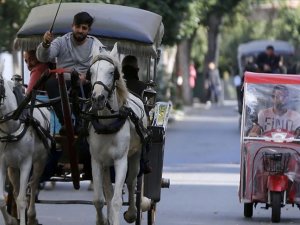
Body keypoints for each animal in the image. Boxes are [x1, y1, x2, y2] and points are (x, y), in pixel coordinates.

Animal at [0, 75, 51, 225]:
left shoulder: (26, 164)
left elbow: (22, 200)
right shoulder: (2, 164)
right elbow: (1, 199)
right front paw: (11, 220)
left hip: (40, 161)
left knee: (33, 184)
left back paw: (32, 216)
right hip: (12, 168)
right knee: (16, 191)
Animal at [88, 45, 149, 225]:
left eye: (111, 72)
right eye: (91, 72)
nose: (98, 98)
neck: (107, 122)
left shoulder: (121, 160)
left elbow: (116, 200)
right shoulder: (96, 160)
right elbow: (99, 199)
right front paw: (102, 220)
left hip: (136, 155)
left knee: (132, 181)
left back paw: (132, 213)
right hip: (106, 164)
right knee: (108, 191)